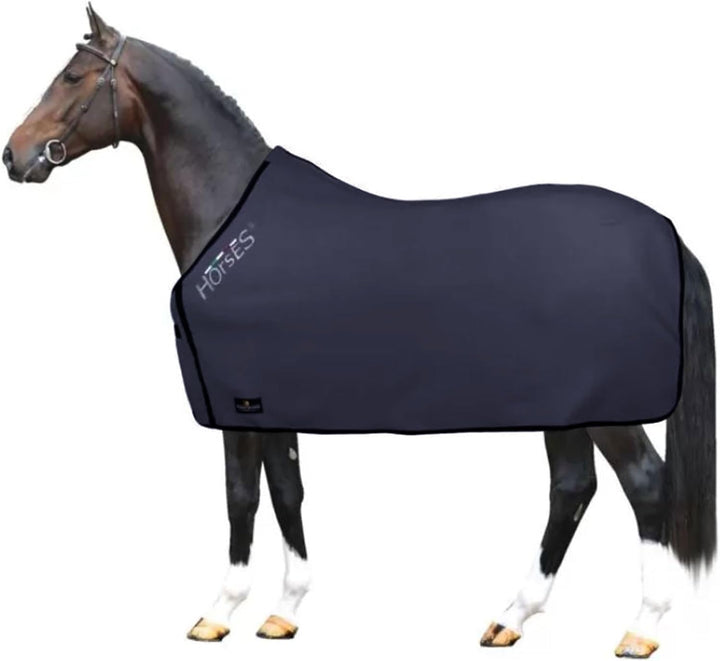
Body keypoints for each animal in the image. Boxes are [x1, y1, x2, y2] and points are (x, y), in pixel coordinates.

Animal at [3, 6, 715, 658]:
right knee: (572, 489)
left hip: (608, 409)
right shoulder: (269, 403)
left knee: (645, 485)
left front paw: (219, 612)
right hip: (566, 408)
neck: (232, 216)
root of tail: (668, 235)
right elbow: (286, 491)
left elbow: (242, 497)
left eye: (71, 77)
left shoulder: (236, 402)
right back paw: (510, 618)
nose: (15, 155)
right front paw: (284, 611)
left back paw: (641, 629)